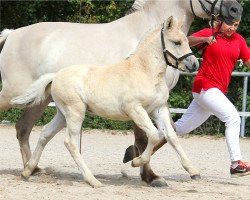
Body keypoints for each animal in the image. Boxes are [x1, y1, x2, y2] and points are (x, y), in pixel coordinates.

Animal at [0, 0, 242, 188]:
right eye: (176, 42)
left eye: (185, 40)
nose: (236, 10)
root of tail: (12, 34)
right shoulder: (136, 108)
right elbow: (150, 136)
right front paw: (144, 169)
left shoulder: (158, 107)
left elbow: (169, 134)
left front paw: (186, 170)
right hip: (25, 98)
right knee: (48, 135)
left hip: (49, 105)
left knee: (31, 131)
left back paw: (32, 170)